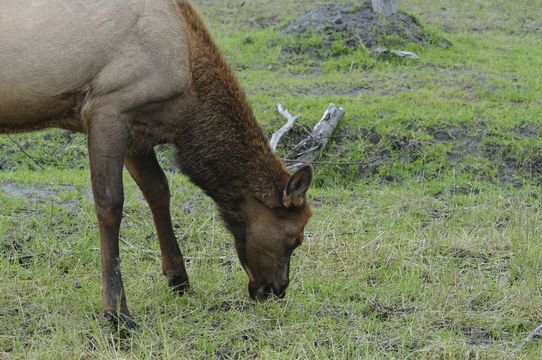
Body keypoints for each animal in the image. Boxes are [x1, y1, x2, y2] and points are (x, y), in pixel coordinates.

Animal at [0, 0, 314, 326]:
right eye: (296, 238)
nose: (277, 290)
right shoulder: (108, 108)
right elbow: (110, 205)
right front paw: (117, 312)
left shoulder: (137, 133)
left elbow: (159, 190)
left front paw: (178, 278)